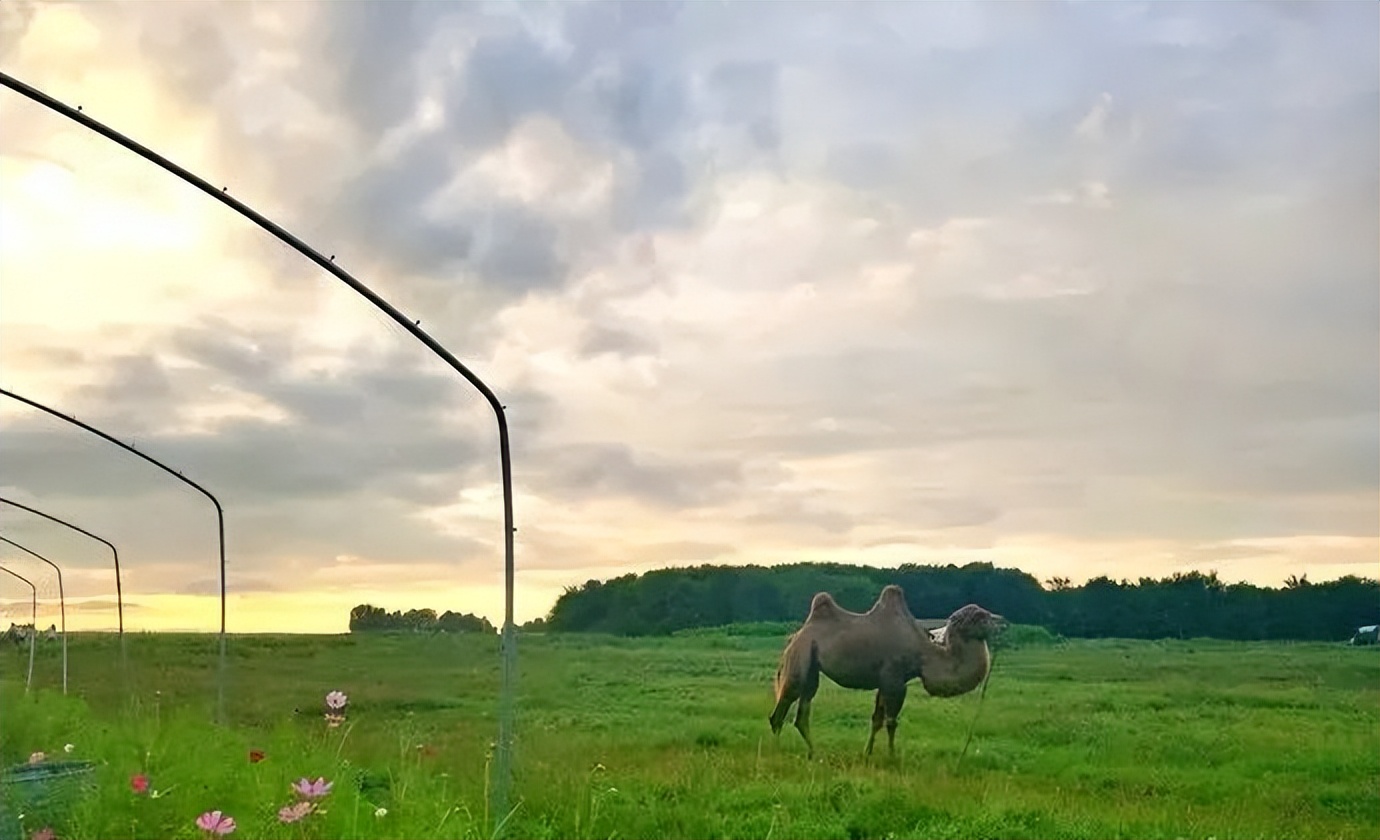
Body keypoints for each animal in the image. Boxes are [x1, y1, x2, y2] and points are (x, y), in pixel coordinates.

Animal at [767, 582, 1004, 761]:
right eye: (980, 618)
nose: (1002, 623)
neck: (924, 655)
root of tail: (795, 636)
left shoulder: (886, 681)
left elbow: (877, 720)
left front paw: (867, 754)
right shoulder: (895, 680)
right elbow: (891, 721)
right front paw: (892, 757)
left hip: (812, 667)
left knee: (802, 713)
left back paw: (813, 752)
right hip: (800, 657)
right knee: (781, 709)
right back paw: (776, 752)